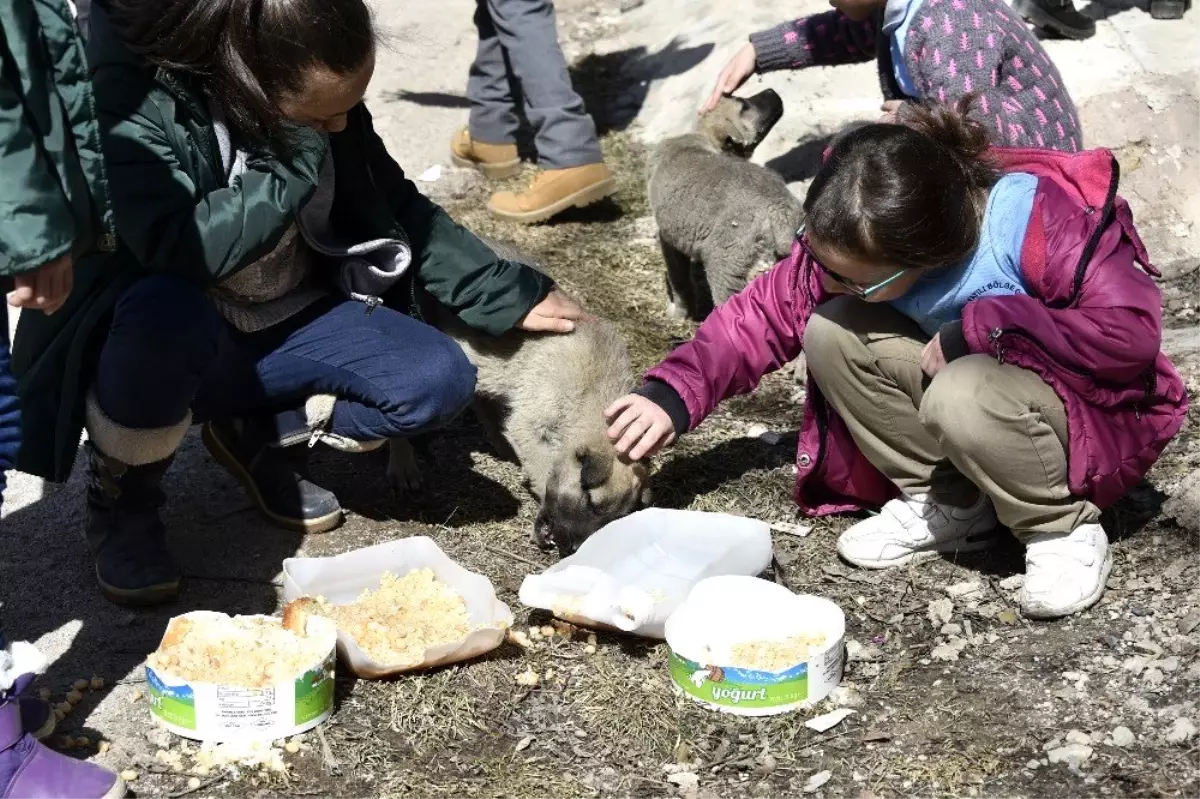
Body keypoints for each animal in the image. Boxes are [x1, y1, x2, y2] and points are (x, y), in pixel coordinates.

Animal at [386, 242, 652, 554]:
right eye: (590, 500)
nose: (574, 548)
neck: (590, 392)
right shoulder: (530, 423)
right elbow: (543, 470)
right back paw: (403, 464)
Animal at [648, 88, 806, 321]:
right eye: (743, 103)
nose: (772, 91)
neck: (702, 138)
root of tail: (779, 206)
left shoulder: (668, 238)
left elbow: (679, 282)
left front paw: (679, 313)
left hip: (725, 262)